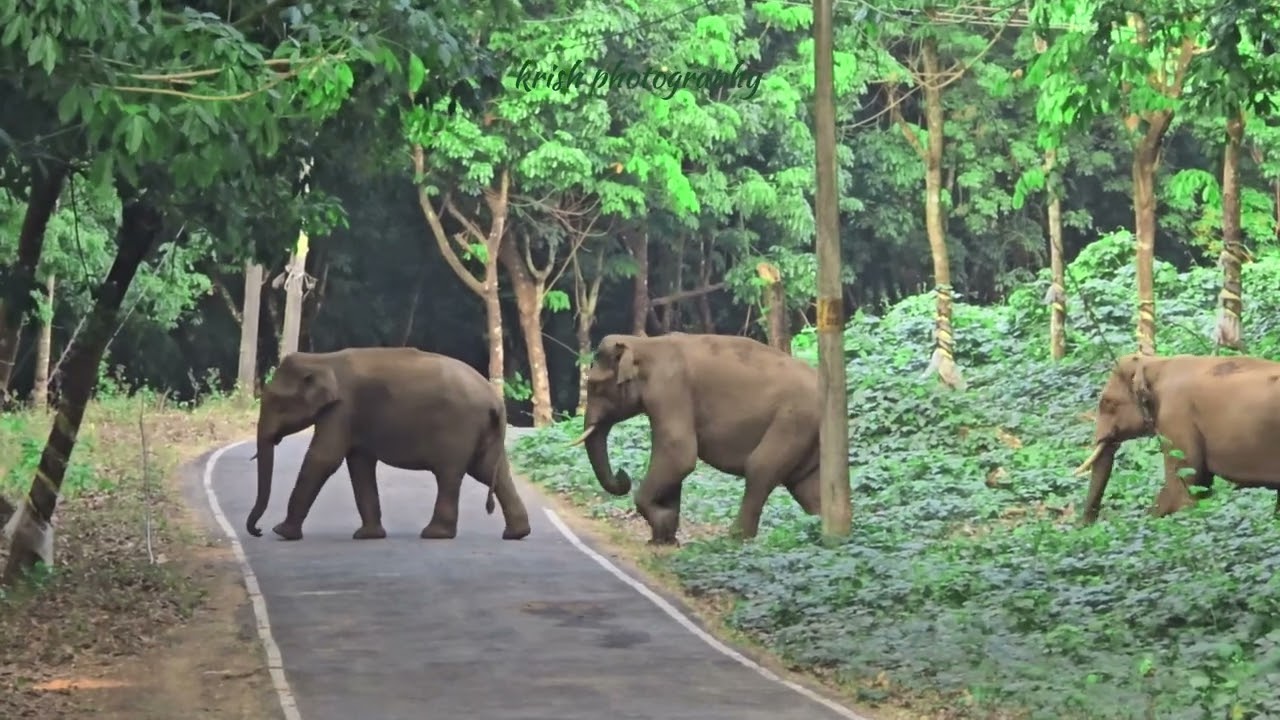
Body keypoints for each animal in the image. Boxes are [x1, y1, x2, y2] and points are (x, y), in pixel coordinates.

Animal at [246, 347, 532, 542]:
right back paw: (516, 534)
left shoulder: (342, 409)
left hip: (459, 427)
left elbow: (324, 458)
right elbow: (359, 464)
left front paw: (282, 532)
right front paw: (367, 535)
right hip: (483, 432)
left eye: (277, 403)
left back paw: (435, 534)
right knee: (489, 471)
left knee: (450, 474)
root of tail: (495, 400)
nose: (258, 530)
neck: (322, 359)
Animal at [570, 332, 823, 545]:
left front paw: (663, 523)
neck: (645, 344)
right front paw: (664, 538)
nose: (623, 475)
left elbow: (678, 452)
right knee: (806, 486)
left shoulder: (669, 388)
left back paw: (732, 540)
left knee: (760, 468)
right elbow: (674, 461)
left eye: (595, 385)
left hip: (794, 421)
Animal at [1073, 352, 1280, 523]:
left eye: (1108, 403)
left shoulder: (1175, 418)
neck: (1157, 363)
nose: (1085, 526)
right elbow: (1201, 484)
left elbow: (1183, 488)